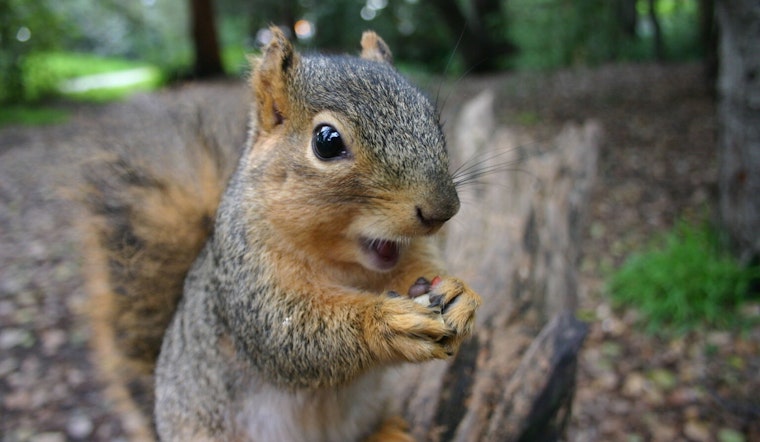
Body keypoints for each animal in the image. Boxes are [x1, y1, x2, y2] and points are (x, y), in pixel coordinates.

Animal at [81, 27, 482, 441]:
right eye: (326, 141)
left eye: (432, 117)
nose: (442, 210)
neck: (345, 265)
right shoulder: (246, 280)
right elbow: (288, 335)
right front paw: (384, 322)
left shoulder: (408, 253)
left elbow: (421, 269)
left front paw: (459, 295)